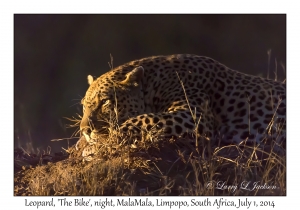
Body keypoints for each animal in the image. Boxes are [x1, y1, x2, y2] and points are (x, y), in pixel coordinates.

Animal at [78, 54, 284, 154]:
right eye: (84, 106)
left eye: (105, 102)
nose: (85, 130)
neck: (154, 83)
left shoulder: (193, 116)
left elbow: (146, 118)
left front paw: (112, 138)